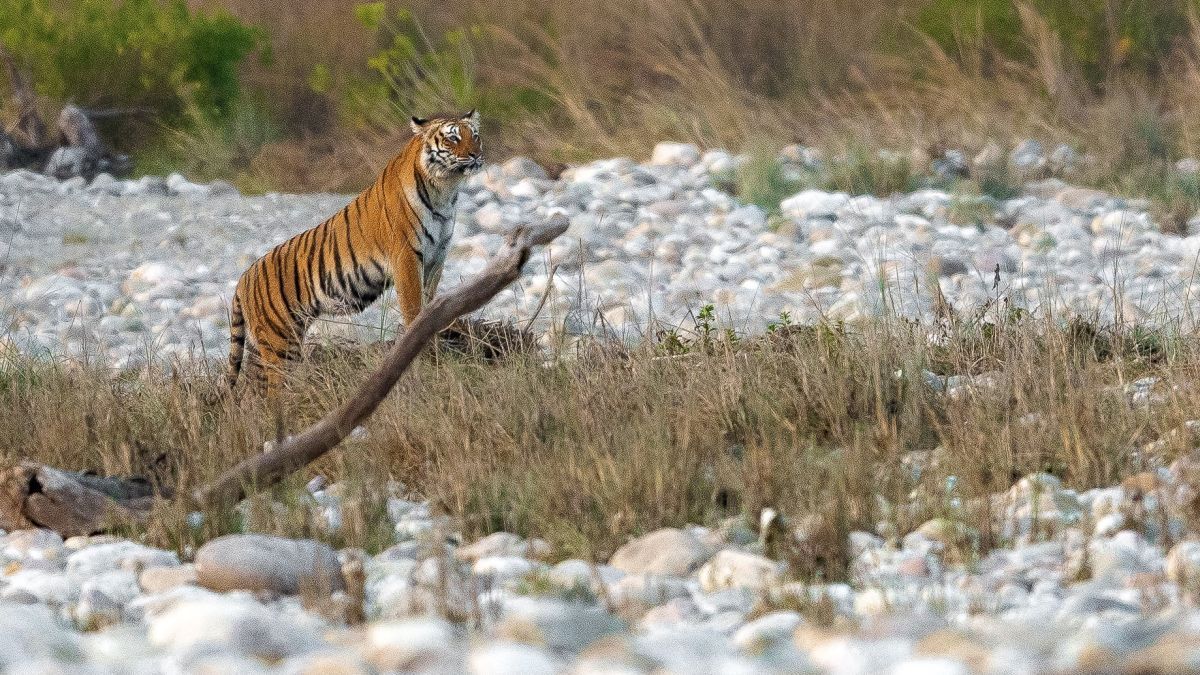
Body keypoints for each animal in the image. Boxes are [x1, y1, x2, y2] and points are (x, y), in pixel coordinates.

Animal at [226, 110, 483, 392]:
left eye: (475, 136)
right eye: (452, 139)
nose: (476, 154)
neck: (445, 190)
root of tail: (244, 278)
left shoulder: (436, 258)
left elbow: (430, 302)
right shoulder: (406, 257)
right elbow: (414, 308)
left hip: (264, 347)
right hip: (280, 343)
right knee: (274, 389)